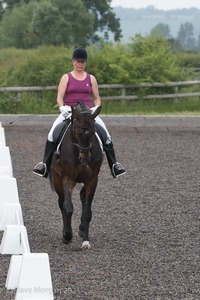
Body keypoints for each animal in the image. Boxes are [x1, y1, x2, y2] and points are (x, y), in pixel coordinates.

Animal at [48, 101, 103, 248]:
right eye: (77, 133)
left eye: (93, 132)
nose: (85, 158)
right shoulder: (68, 178)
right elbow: (68, 207)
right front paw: (67, 235)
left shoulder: (92, 180)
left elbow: (87, 212)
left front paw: (86, 240)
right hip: (57, 178)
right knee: (61, 202)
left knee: (82, 197)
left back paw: (82, 229)